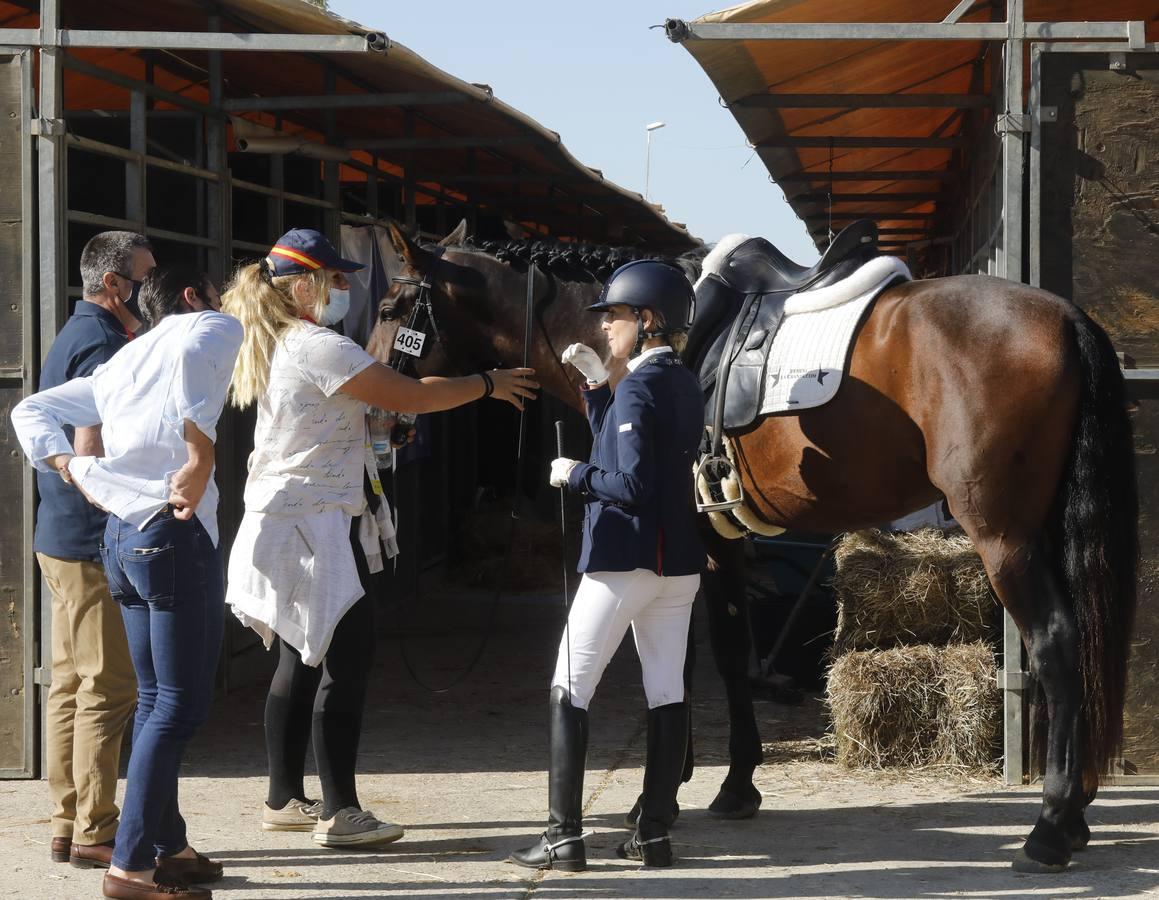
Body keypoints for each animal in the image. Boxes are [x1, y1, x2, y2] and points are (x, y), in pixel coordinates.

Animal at [373, 217, 1140, 871]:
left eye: (388, 306)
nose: (382, 417)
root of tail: (1065, 317)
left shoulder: (684, 540)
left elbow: (686, 663)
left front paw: (656, 806)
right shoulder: (716, 545)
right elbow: (725, 652)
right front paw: (731, 784)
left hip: (1003, 534)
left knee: (1054, 641)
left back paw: (1050, 827)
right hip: (1043, 530)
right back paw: (1074, 814)